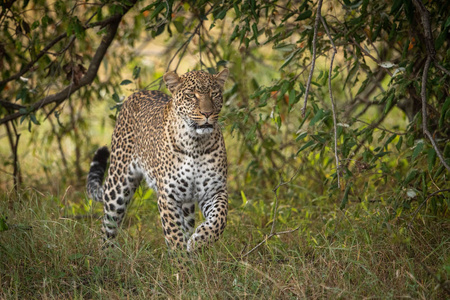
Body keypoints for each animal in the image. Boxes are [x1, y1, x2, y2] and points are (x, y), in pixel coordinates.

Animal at [86, 68, 230, 251]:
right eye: (191, 95)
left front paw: (199, 241)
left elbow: (219, 219)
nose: (207, 113)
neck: (195, 144)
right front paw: (181, 257)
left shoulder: (214, 190)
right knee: (107, 228)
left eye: (214, 94)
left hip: (187, 204)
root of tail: (138, 93)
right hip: (117, 186)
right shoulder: (168, 196)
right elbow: (174, 235)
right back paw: (104, 255)